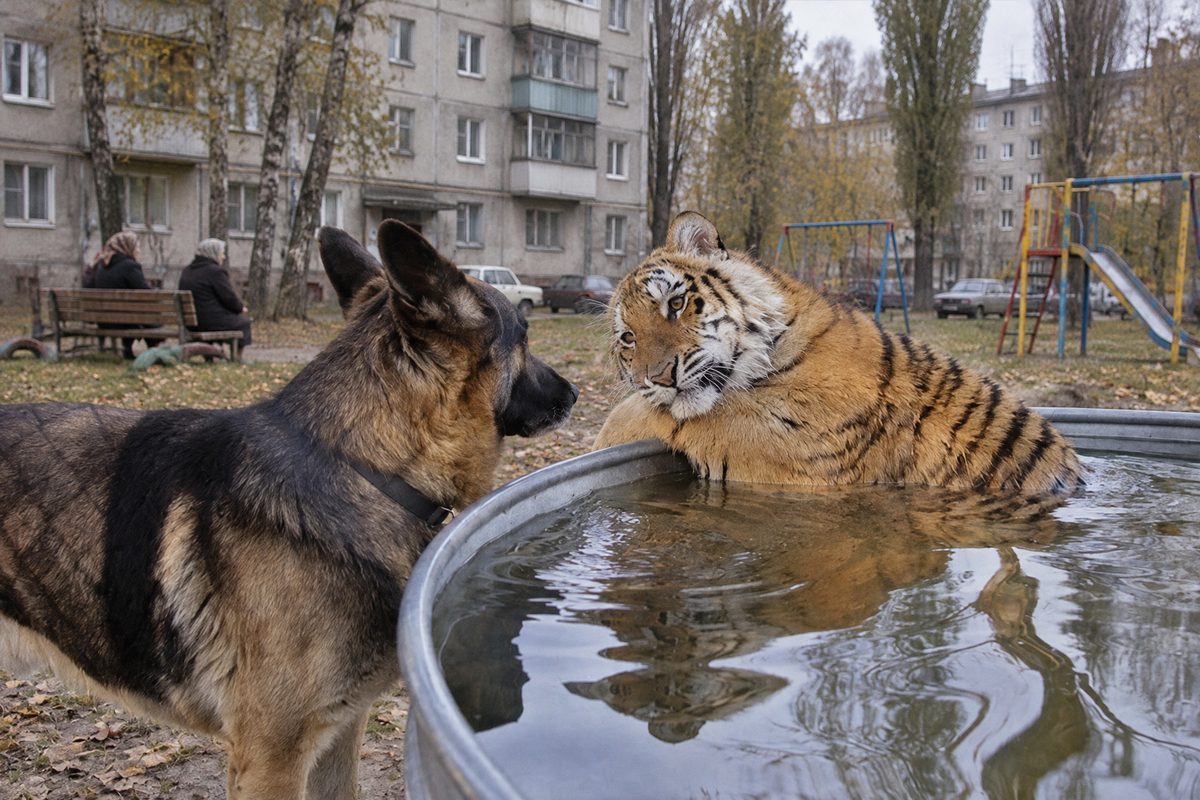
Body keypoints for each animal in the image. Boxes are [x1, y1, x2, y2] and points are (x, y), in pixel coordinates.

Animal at [594, 211, 1082, 500]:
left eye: (675, 304)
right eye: (628, 338)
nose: (657, 377)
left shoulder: (792, 441)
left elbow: (672, 416)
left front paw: (607, 437)